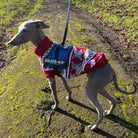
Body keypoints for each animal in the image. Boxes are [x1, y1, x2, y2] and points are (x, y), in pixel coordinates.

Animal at [7, 19, 136, 130]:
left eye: (25, 30)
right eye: (18, 28)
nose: (9, 42)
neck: (47, 48)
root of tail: (111, 69)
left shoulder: (51, 78)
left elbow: (54, 96)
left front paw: (55, 107)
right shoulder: (61, 75)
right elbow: (67, 88)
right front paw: (69, 97)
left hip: (91, 89)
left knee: (100, 112)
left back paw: (94, 127)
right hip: (99, 87)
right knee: (113, 101)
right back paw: (109, 112)